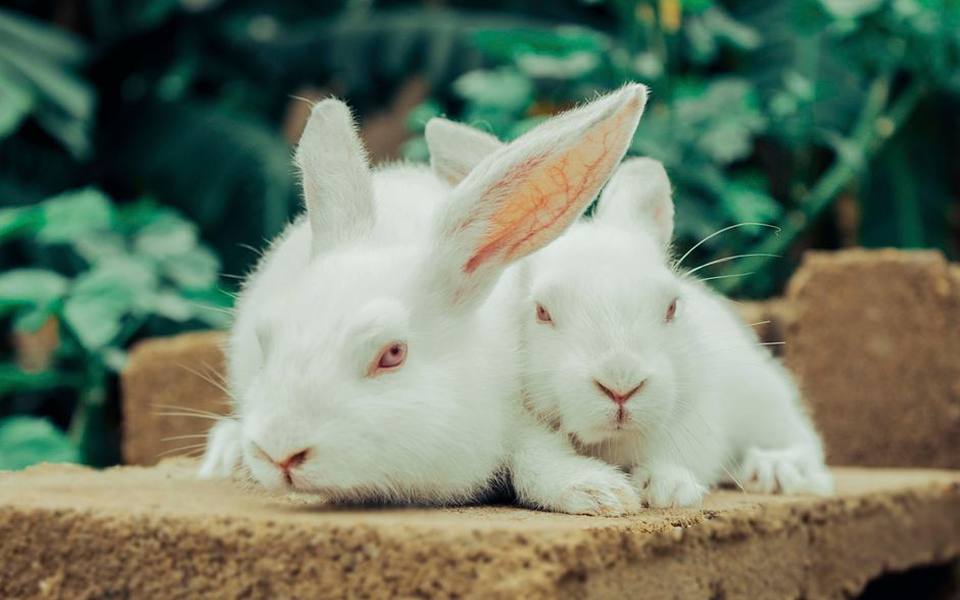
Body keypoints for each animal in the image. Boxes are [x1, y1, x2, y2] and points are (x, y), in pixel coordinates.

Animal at [424, 125, 833, 507]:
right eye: (541, 312)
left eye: (672, 307)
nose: (621, 385)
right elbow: (535, 457)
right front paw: (596, 492)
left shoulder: (696, 409)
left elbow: (678, 448)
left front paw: (668, 488)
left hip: (765, 396)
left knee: (806, 443)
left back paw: (775, 471)